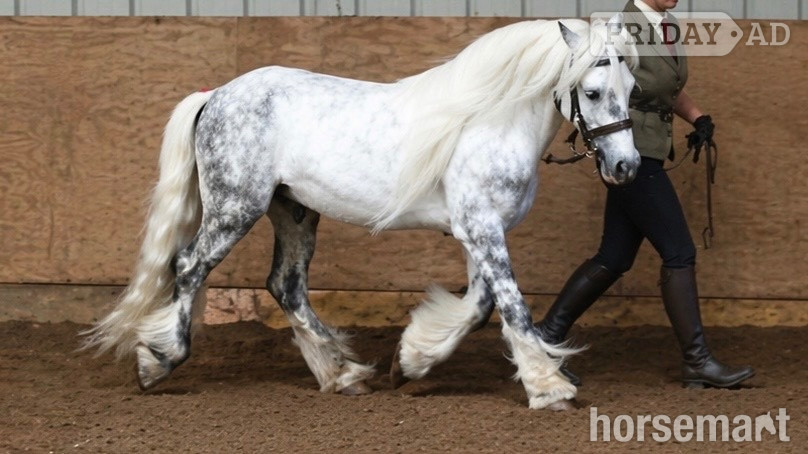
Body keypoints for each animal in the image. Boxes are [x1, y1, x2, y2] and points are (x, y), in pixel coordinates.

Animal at [83, 15, 639, 411]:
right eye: (592, 91)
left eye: (631, 89)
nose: (626, 166)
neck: (489, 122)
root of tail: (216, 95)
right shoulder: (481, 229)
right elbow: (511, 307)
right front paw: (549, 389)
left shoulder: (478, 230)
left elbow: (480, 307)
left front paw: (411, 362)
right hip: (235, 208)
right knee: (189, 267)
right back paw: (158, 361)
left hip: (294, 212)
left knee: (285, 285)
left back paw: (342, 375)